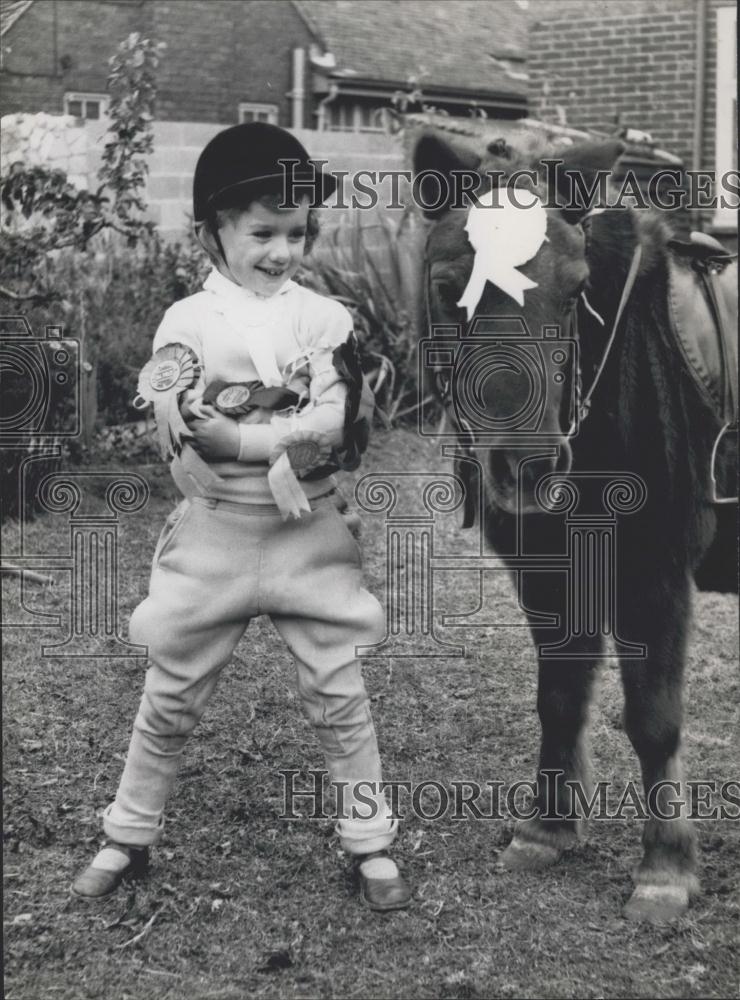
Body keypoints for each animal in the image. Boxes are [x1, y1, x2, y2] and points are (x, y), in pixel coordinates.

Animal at [414, 131, 736, 920]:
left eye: (574, 287)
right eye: (449, 285)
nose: (528, 468)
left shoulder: (655, 573)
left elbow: (653, 718)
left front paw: (666, 867)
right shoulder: (551, 572)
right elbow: (558, 700)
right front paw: (547, 831)